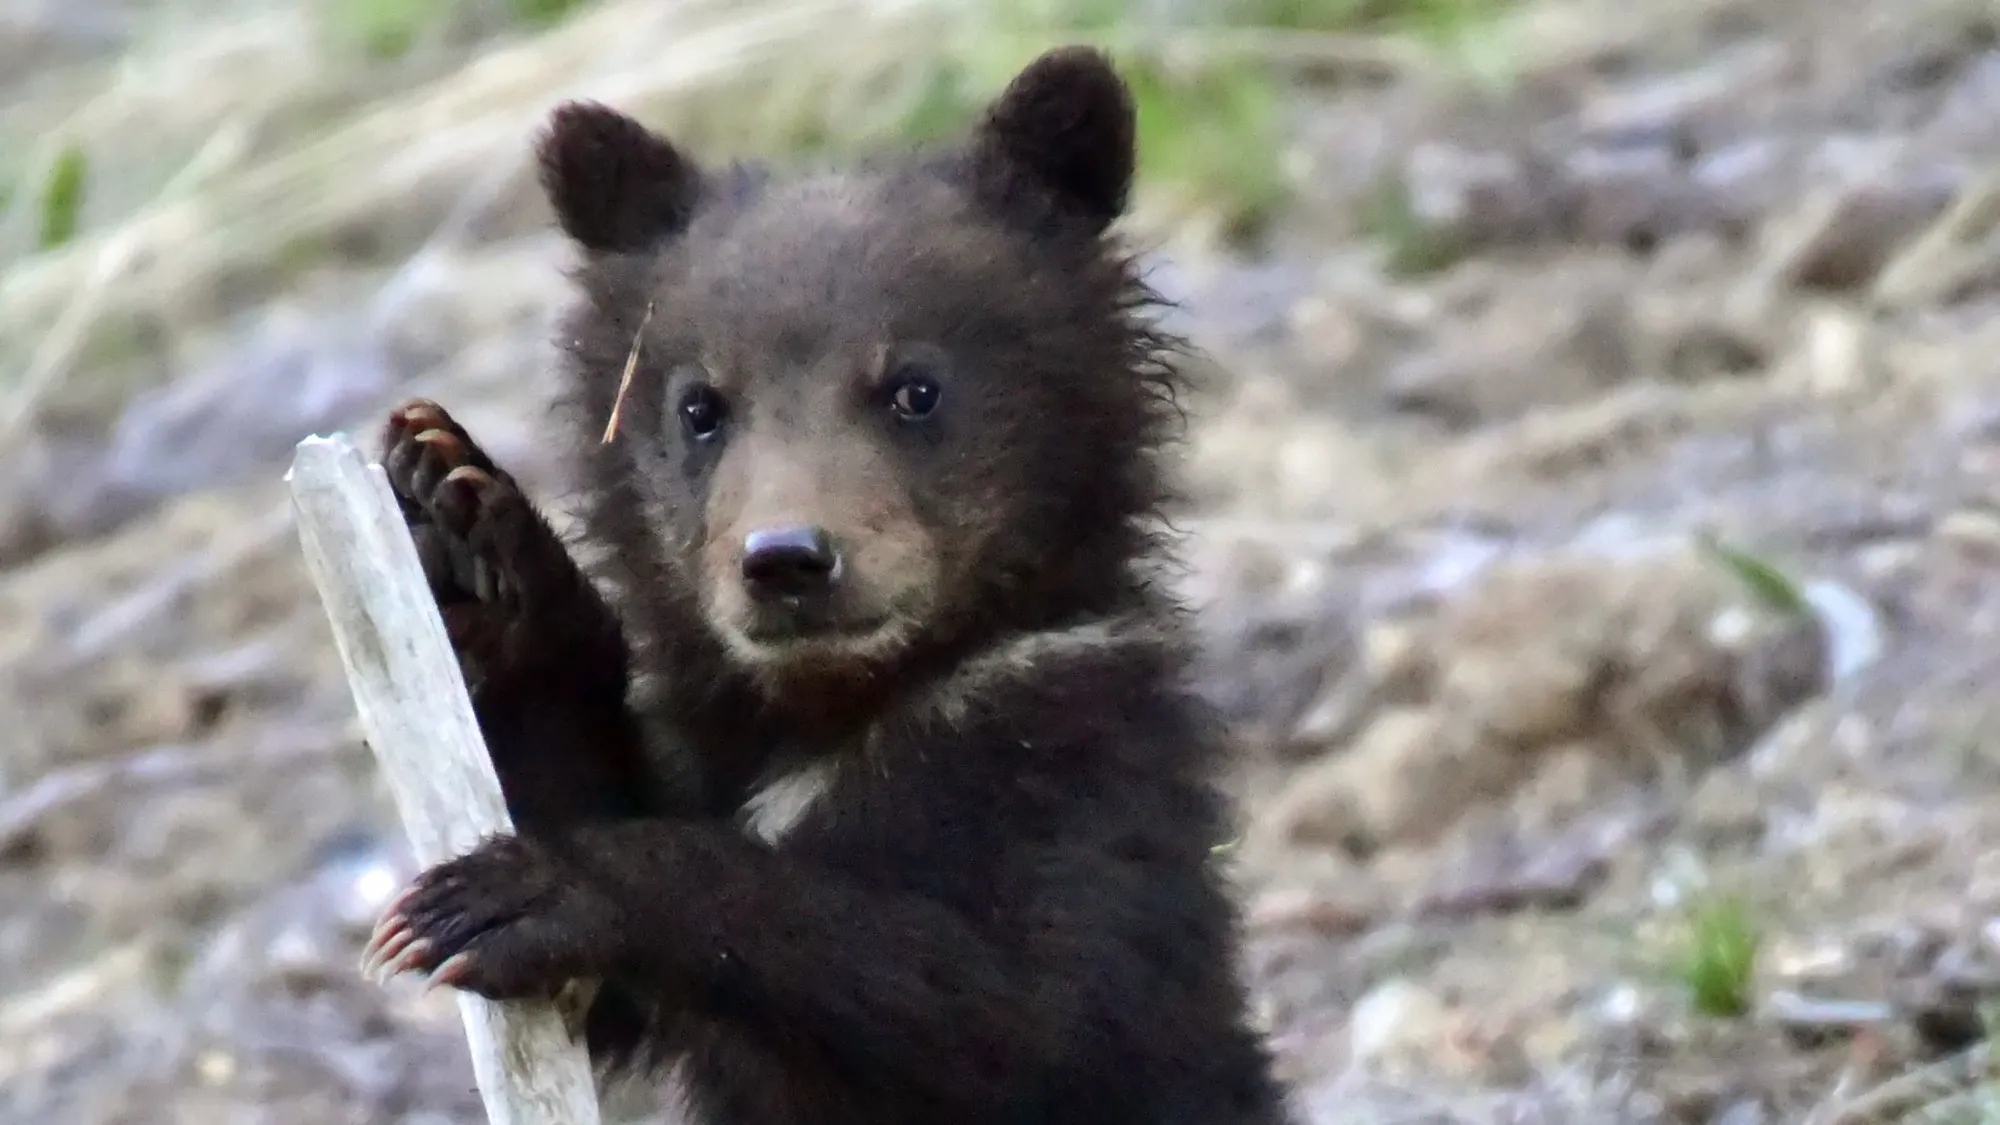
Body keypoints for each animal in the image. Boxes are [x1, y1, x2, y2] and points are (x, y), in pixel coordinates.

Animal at [358, 45, 1294, 1125]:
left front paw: (526, 892)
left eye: (914, 386)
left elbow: (1015, 1006)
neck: (831, 718)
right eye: (699, 404)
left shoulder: (1084, 781)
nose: (786, 559)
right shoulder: (708, 762)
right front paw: (474, 530)